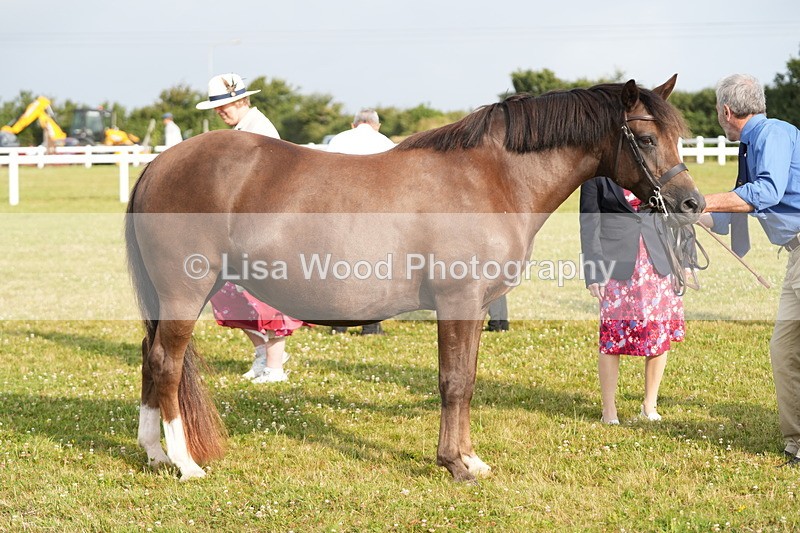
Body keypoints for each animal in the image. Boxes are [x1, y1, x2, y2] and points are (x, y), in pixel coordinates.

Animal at [126, 75, 704, 481]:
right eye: (646, 138)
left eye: (680, 137)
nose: (691, 204)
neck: (491, 178)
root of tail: (157, 165)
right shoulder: (457, 301)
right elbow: (453, 383)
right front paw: (454, 464)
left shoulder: (475, 307)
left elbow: (467, 381)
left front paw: (470, 458)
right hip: (184, 294)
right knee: (167, 364)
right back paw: (186, 464)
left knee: (150, 360)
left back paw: (155, 454)